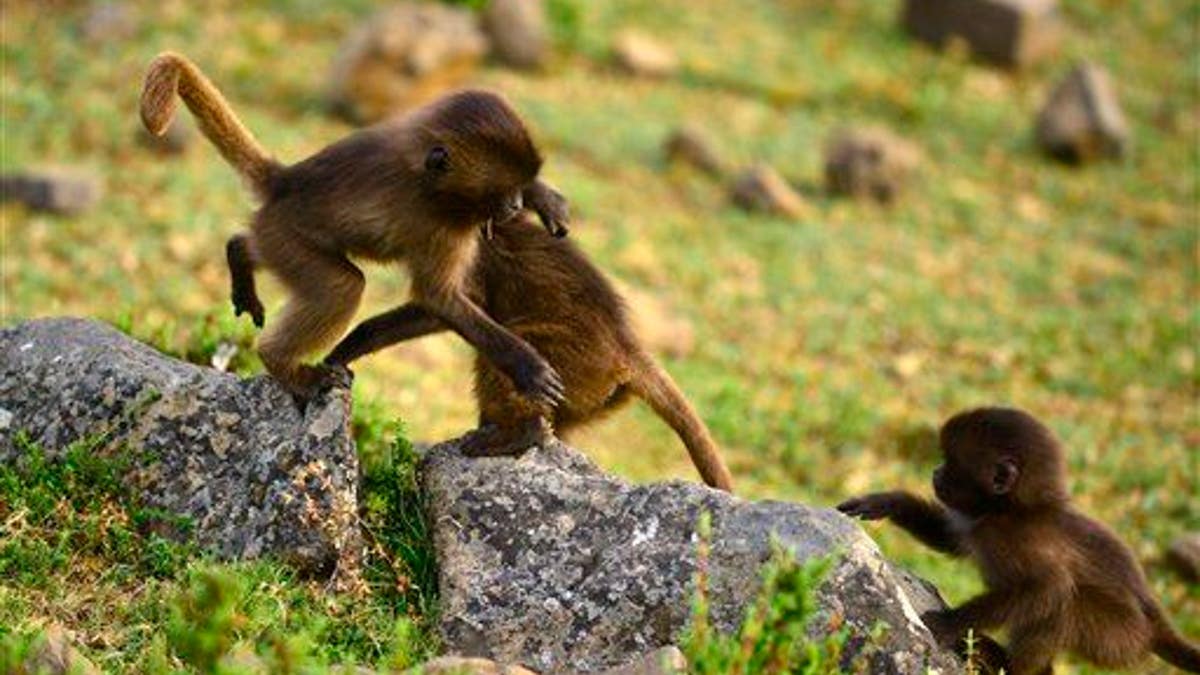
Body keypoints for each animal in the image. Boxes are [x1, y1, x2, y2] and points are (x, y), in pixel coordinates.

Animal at [140, 51, 569, 404]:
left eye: (515, 190)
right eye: (502, 192)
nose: (515, 205)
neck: (424, 175)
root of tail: (284, 182)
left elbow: (446, 303)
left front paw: (542, 196)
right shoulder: (439, 226)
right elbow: (440, 299)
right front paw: (526, 367)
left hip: (274, 236)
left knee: (267, 252)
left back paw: (240, 253)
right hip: (286, 237)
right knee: (341, 286)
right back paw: (282, 365)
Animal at [319, 212, 736, 492]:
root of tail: (626, 350)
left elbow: (455, 303)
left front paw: (347, 347)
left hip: (575, 363)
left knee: (513, 360)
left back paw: (518, 433)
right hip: (594, 396)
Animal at [838, 407, 1200, 674]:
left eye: (951, 462)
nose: (936, 473)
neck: (1011, 511)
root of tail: (1153, 623)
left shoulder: (1007, 537)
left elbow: (1046, 587)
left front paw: (948, 623)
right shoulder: (980, 525)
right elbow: (951, 540)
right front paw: (888, 502)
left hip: (1118, 637)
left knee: (1064, 603)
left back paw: (1011, 666)